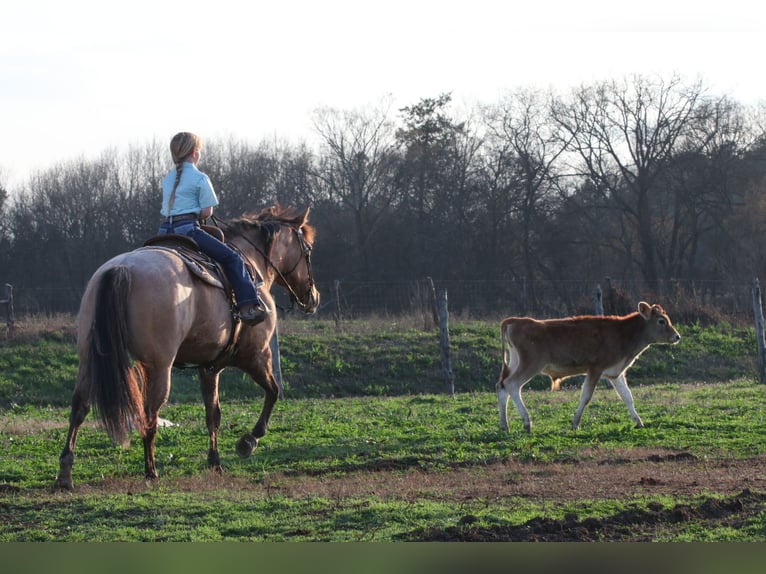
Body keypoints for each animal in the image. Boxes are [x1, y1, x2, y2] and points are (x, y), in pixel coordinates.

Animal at [53, 205, 318, 492]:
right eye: (307, 251)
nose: (313, 298)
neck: (251, 262)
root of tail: (122, 269)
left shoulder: (209, 367)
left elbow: (213, 413)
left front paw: (215, 461)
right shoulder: (256, 355)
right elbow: (273, 391)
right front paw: (249, 441)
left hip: (90, 360)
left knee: (79, 407)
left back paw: (65, 475)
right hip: (159, 366)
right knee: (150, 414)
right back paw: (150, 471)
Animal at [498, 304, 684, 434]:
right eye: (661, 321)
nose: (677, 336)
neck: (622, 334)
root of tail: (516, 320)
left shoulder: (616, 373)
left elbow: (627, 397)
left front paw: (638, 422)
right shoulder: (595, 368)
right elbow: (586, 396)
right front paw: (575, 424)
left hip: (515, 362)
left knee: (502, 386)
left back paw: (504, 425)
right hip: (530, 364)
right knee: (512, 385)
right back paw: (526, 422)